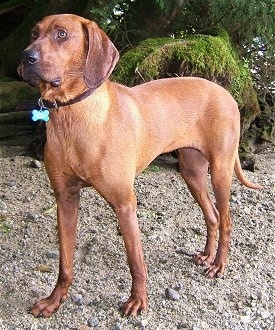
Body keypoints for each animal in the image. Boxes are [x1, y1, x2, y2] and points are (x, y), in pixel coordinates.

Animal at [17, 13, 264, 318]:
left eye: (62, 34)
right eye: (33, 33)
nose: (26, 57)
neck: (73, 116)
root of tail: (227, 94)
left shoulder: (125, 203)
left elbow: (135, 260)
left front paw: (138, 300)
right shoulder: (65, 198)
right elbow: (65, 261)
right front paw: (54, 300)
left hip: (220, 170)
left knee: (227, 220)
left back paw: (218, 265)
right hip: (192, 172)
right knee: (213, 216)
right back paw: (207, 255)